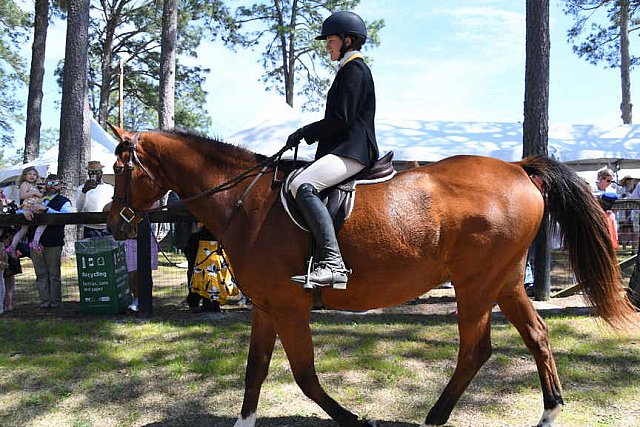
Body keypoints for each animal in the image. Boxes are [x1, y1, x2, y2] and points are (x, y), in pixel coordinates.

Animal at [105, 127, 636, 427]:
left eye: (120, 168)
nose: (113, 223)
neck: (246, 201)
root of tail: (518, 167)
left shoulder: (291, 308)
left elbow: (304, 376)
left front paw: (351, 418)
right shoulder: (267, 308)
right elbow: (256, 370)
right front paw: (245, 421)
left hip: (476, 286)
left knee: (476, 349)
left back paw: (436, 416)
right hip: (503, 283)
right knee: (538, 336)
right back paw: (549, 411)